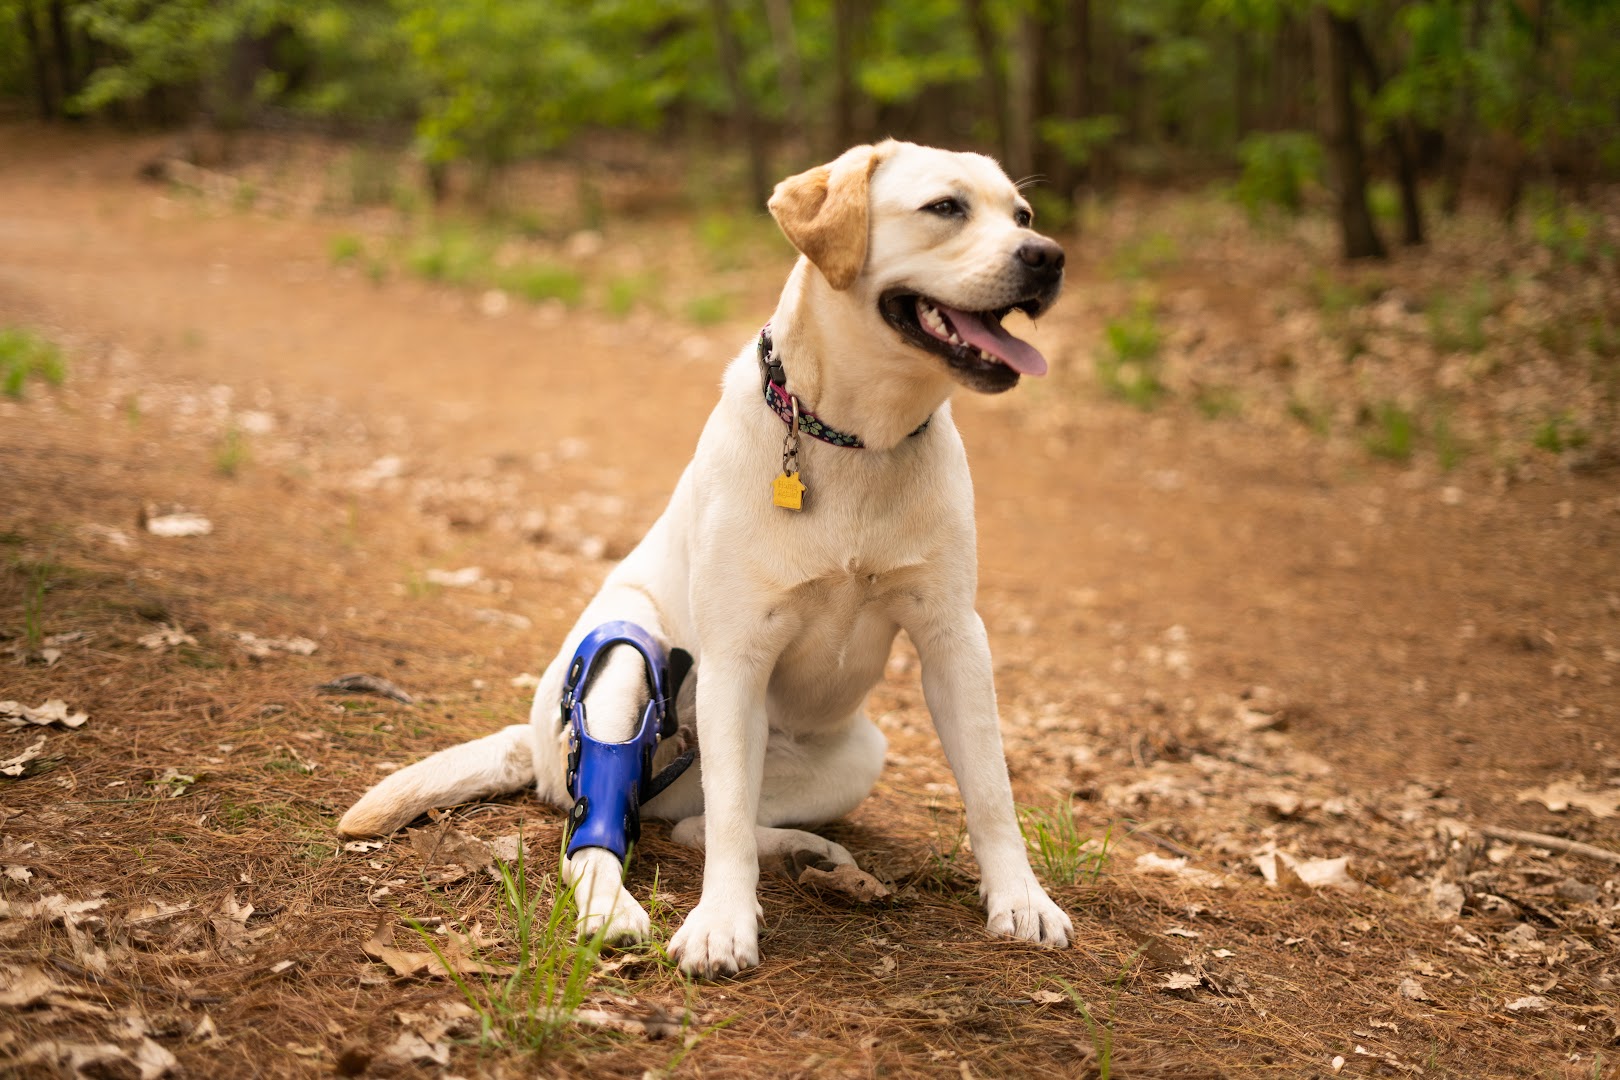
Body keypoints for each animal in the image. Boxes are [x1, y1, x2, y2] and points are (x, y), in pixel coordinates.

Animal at [338, 141, 1075, 977]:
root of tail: (527, 745)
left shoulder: (954, 640)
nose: (1048, 257)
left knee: (690, 822)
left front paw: (1021, 900)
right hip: (625, 658)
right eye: (946, 208)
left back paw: (811, 856)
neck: (859, 440)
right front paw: (723, 924)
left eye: (1023, 215)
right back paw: (616, 908)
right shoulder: (737, 658)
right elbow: (726, 819)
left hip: (858, 755)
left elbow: (990, 789)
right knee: (606, 828)